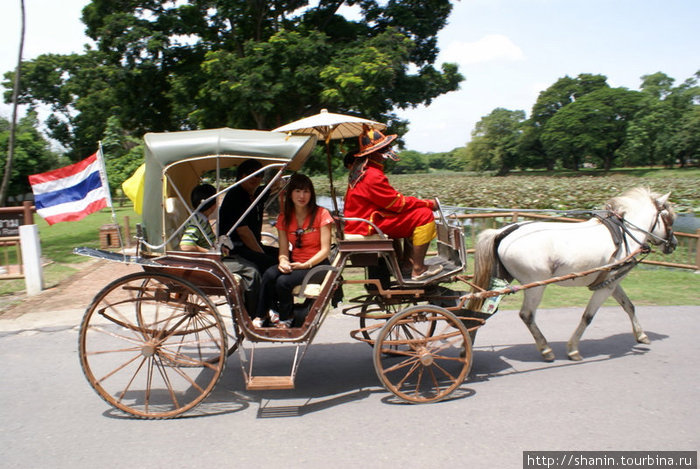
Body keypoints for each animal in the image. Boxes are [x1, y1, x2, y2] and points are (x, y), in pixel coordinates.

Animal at [468, 187, 676, 362]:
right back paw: (546, 349)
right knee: (527, 315)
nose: (673, 244)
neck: (625, 234)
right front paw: (573, 349)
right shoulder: (607, 286)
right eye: (669, 218)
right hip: (536, 285)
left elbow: (629, 306)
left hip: (503, 280)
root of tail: (503, 231)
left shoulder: (611, 282)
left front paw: (641, 335)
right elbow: (588, 316)